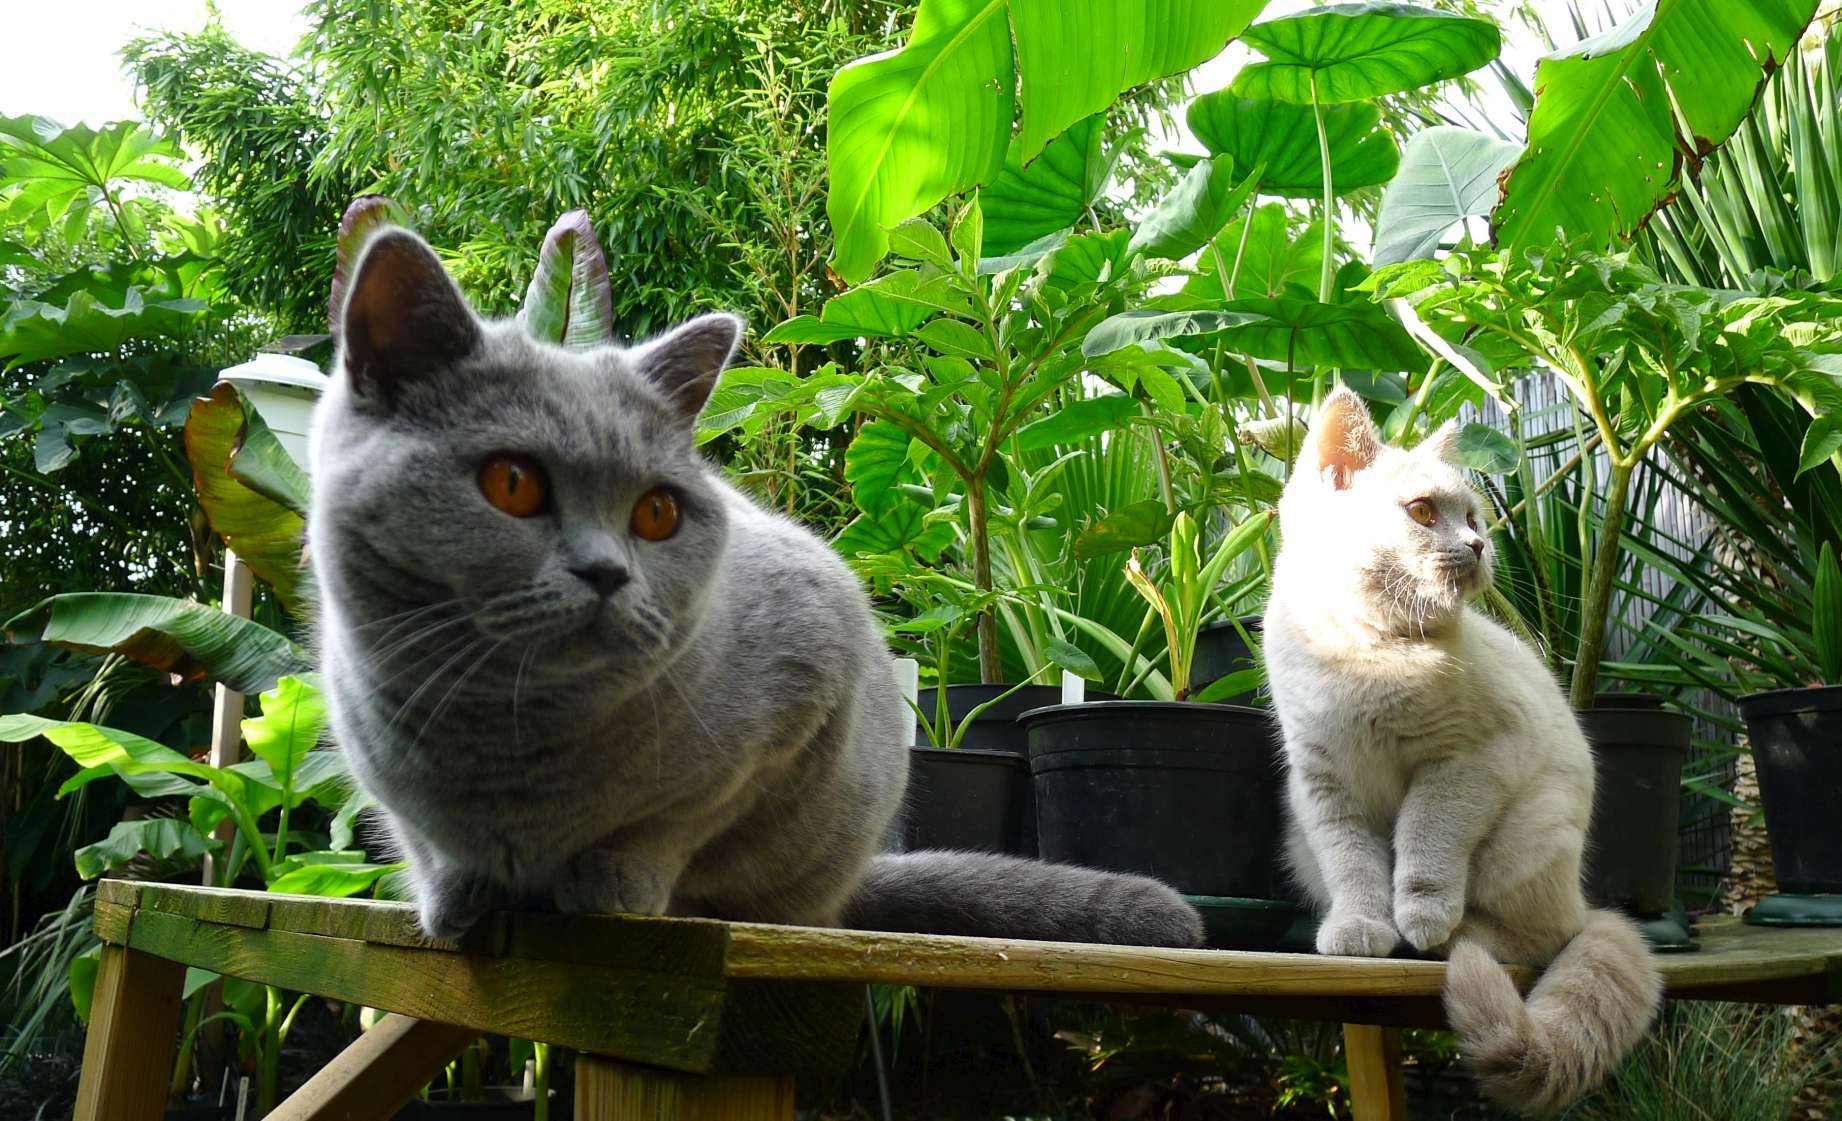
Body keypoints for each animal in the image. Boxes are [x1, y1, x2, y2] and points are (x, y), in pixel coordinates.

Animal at [306, 227, 1203, 949]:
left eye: (658, 512)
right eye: (513, 483)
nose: (607, 571)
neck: (509, 734)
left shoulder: (797, 698)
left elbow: (673, 823)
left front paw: (610, 881)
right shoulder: (382, 776)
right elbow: (426, 843)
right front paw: (455, 896)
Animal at [1262, 387, 1662, 1114]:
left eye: (1475, 516)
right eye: (1423, 512)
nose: (1478, 543)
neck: (1361, 653)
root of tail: (1585, 901)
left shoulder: (1464, 761)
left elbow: (1426, 846)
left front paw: (1419, 917)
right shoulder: (1322, 783)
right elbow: (1353, 865)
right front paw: (1361, 927)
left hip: (1525, 839)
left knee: (1542, 935)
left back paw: (1459, 937)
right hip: (1299, 843)